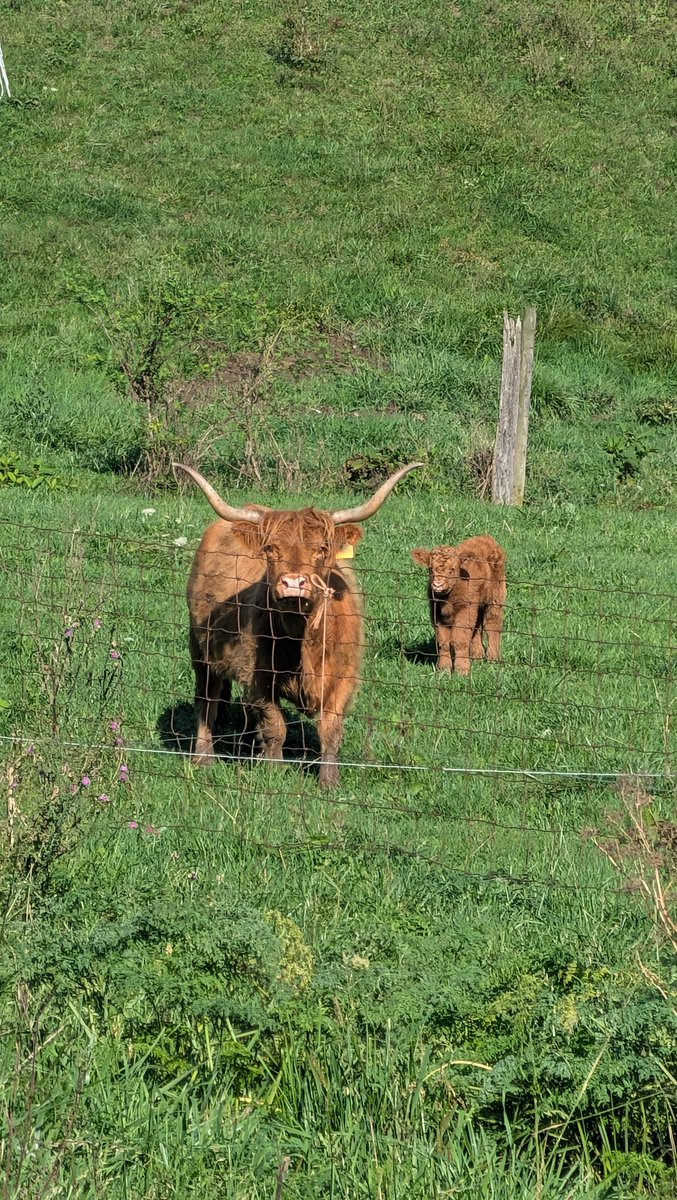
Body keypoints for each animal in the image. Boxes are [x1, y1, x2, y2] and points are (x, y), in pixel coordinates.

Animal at [175, 462, 422, 787]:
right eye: (270, 549)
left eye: (321, 549)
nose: (293, 583)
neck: (300, 638)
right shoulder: (259, 676)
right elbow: (275, 726)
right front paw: (274, 772)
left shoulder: (343, 675)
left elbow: (331, 730)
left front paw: (329, 781)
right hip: (199, 647)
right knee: (207, 698)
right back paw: (203, 758)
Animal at [411, 535, 507, 676]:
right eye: (430, 569)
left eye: (452, 570)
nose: (438, 584)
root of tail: (486, 538)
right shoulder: (436, 614)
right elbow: (443, 642)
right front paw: (444, 669)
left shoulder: (465, 611)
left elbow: (460, 640)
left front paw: (462, 670)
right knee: (477, 628)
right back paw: (477, 656)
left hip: (495, 597)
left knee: (493, 625)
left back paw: (493, 659)